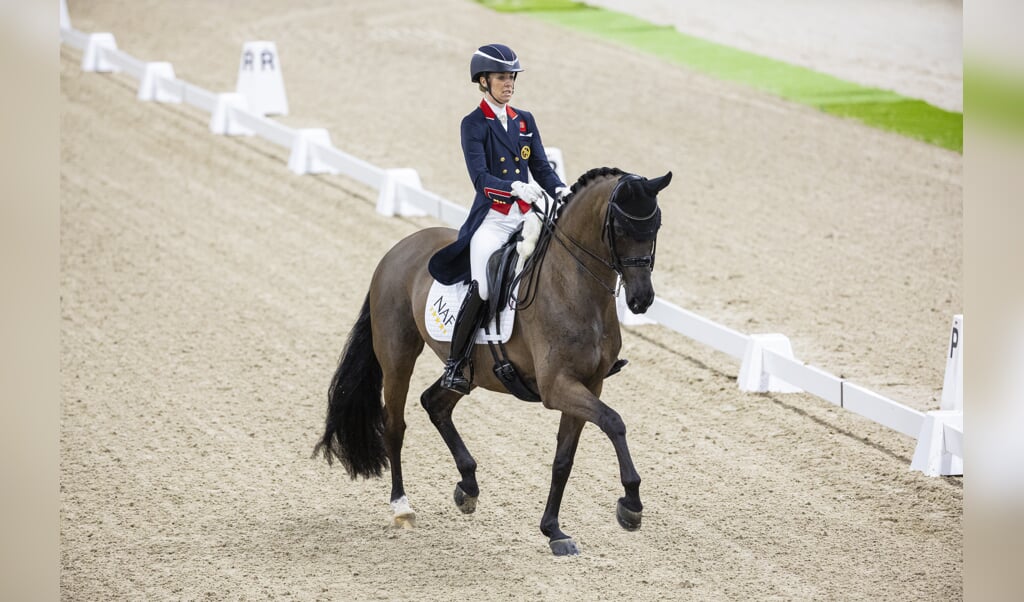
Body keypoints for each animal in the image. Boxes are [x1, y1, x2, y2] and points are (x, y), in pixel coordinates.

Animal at [315, 166, 675, 556]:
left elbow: (564, 459)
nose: (641, 300)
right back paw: (402, 507)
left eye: (656, 226)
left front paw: (554, 531)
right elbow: (614, 422)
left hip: (471, 372)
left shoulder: (589, 384)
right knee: (395, 425)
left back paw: (468, 487)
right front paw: (631, 505)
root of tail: (400, 248)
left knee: (435, 403)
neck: (575, 288)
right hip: (398, 356)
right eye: (621, 229)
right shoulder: (558, 387)